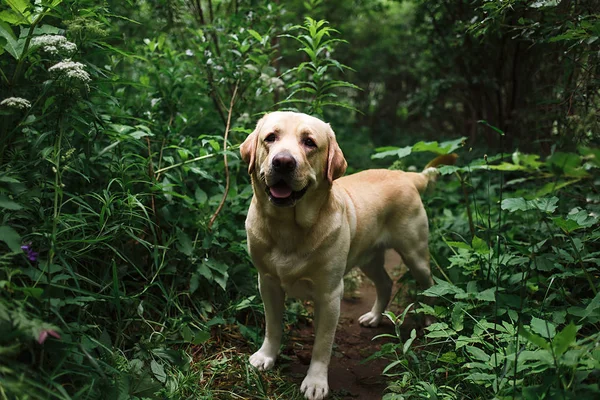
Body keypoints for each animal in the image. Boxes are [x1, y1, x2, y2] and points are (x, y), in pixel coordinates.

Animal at [239, 111, 454, 400]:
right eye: (270, 138)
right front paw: (266, 357)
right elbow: (272, 326)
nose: (283, 162)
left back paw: (431, 321)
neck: (288, 229)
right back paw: (374, 317)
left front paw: (316, 382)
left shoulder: (330, 295)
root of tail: (407, 176)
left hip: (416, 255)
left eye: (309, 142)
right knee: (385, 283)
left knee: (429, 286)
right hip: (369, 259)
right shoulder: (267, 282)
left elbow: (322, 344)